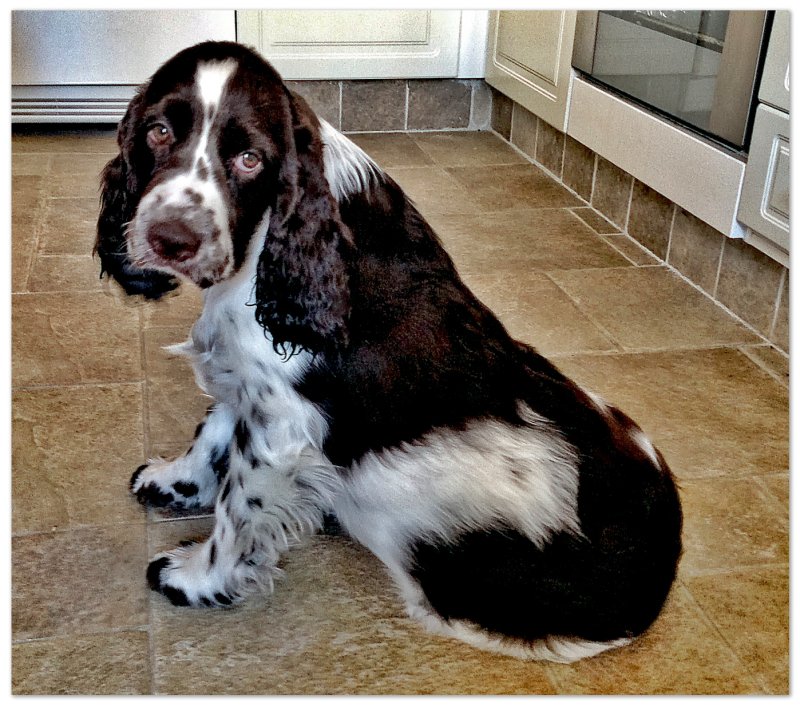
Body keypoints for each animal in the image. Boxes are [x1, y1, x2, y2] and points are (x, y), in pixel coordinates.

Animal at [95, 42, 680, 664]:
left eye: (250, 159)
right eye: (158, 131)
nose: (171, 239)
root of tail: (655, 585)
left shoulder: (281, 425)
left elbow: (237, 508)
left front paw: (194, 578)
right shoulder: (254, 382)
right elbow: (213, 433)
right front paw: (174, 482)